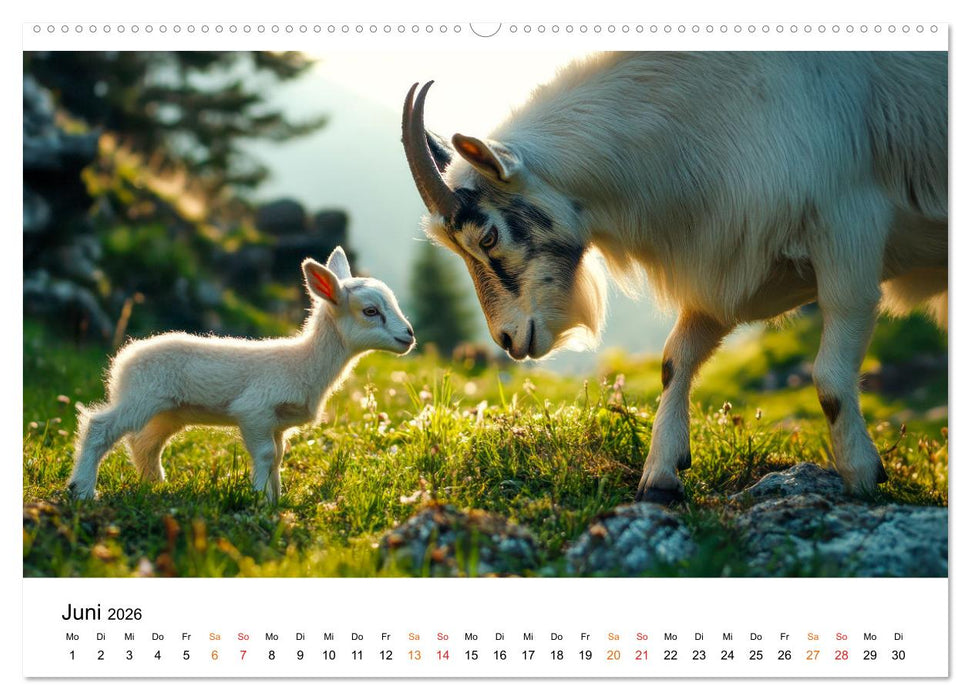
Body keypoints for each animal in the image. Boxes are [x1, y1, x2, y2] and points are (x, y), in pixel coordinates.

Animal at [68, 247, 415, 503]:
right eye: (371, 311)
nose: (409, 336)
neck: (303, 363)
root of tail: (123, 358)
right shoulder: (255, 411)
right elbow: (265, 454)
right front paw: (259, 499)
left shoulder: (278, 423)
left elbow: (278, 456)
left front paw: (275, 500)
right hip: (142, 396)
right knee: (100, 428)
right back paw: (82, 490)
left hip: (168, 411)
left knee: (145, 443)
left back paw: (154, 485)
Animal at [401, 52, 947, 503]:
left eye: (488, 236)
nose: (508, 339)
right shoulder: (724, 262)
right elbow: (674, 359)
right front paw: (662, 476)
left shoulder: (848, 232)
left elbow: (831, 378)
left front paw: (863, 476)